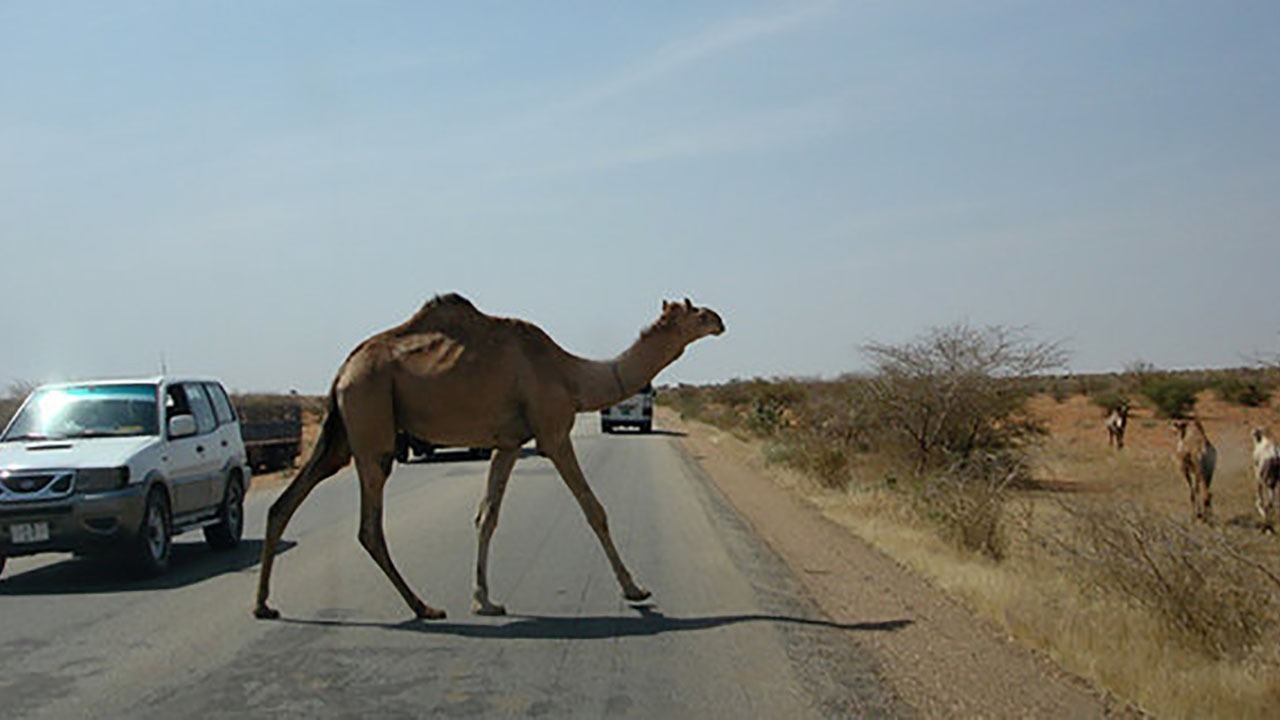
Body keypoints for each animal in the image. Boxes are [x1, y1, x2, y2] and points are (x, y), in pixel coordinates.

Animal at [254, 292, 727, 617]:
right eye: (695, 311)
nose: (720, 319)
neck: (571, 375)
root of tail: (342, 370)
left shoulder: (509, 443)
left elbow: (487, 516)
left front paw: (485, 600)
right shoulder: (553, 433)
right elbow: (594, 509)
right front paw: (635, 589)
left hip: (341, 431)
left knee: (285, 503)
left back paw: (265, 605)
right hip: (371, 419)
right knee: (369, 526)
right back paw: (424, 607)